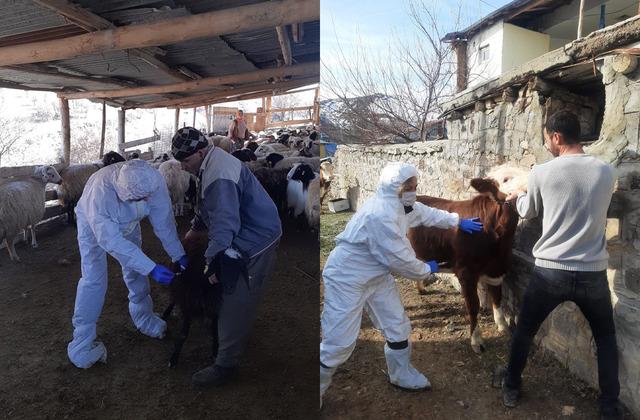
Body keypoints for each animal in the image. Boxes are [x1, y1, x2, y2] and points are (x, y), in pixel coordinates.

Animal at [162, 240, 222, 368]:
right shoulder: (187, 304)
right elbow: (183, 334)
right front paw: (174, 359)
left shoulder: (215, 305)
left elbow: (215, 329)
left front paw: (215, 351)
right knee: (174, 298)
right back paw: (166, 312)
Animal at [408, 178, 524, 354]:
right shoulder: (466, 273)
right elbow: (473, 305)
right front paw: (477, 341)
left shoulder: (496, 270)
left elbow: (497, 298)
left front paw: (503, 326)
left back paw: (421, 289)